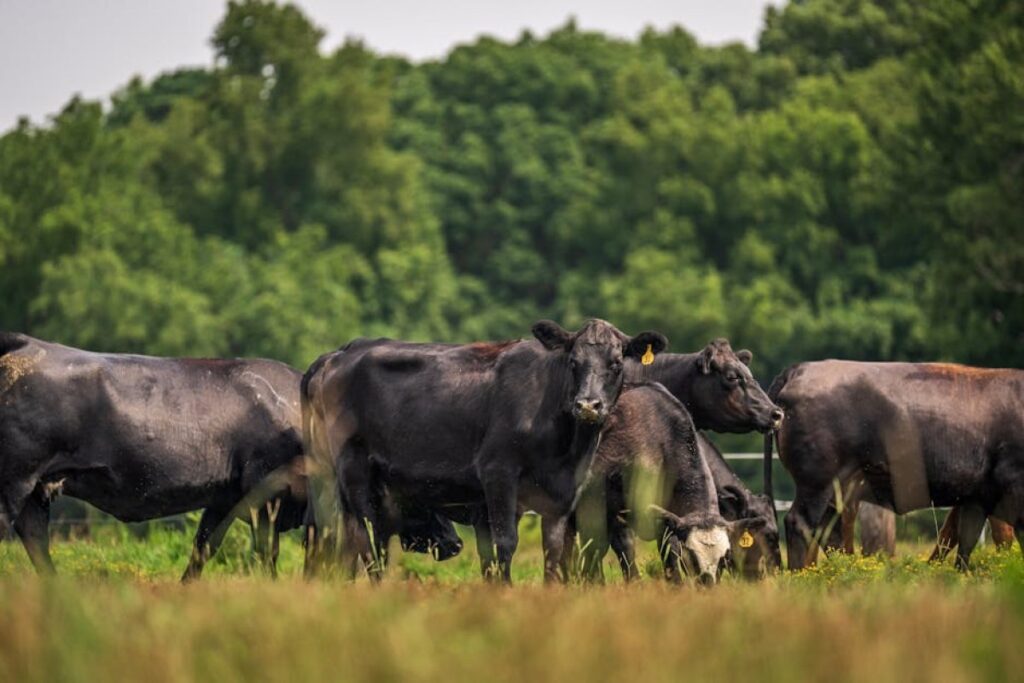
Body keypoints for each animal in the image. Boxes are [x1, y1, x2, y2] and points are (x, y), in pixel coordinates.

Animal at [0, 332, 461, 580]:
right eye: (420, 494)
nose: (456, 543)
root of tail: (26, 344)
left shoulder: (224, 498)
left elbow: (202, 549)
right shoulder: (265, 497)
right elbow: (267, 554)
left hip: (34, 492)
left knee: (36, 540)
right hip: (15, 481)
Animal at [300, 319, 667, 582]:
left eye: (616, 364)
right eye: (574, 362)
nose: (588, 405)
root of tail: (337, 355)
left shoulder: (563, 491)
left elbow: (554, 549)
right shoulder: (498, 474)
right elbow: (503, 544)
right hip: (353, 471)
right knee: (365, 539)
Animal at [572, 383, 767, 585]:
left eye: (724, 558)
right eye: (692, 555)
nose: (708, 583)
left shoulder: (667, 521)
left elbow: (669, 555)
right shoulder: (601, 508)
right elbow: (608, 548)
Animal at [765, 360, 1024, 571]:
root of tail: (800, 369)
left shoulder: (976, 498)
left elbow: (963, 541)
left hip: (838, 490)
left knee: (828, 531)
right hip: (818, 483)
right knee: (801, 524)